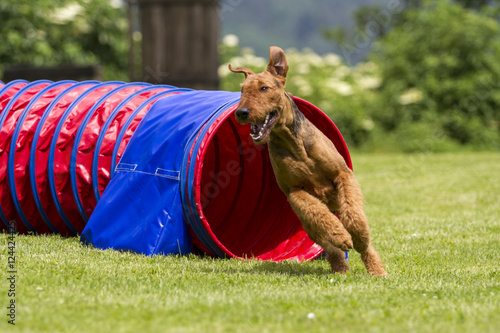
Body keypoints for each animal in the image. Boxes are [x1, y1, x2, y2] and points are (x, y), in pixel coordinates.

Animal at [229, 46, 386, 274]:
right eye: (242, 90)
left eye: (264, 88)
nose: (241, 112)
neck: (295, 144)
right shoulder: (294, 191)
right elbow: (319, 213)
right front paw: (341, 235)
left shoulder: (343, 174)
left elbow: (353, 213)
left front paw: (357, 235)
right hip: (309, 225)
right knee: (328, 244)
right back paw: (341, 263)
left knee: (362, 241)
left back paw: (376, 268)